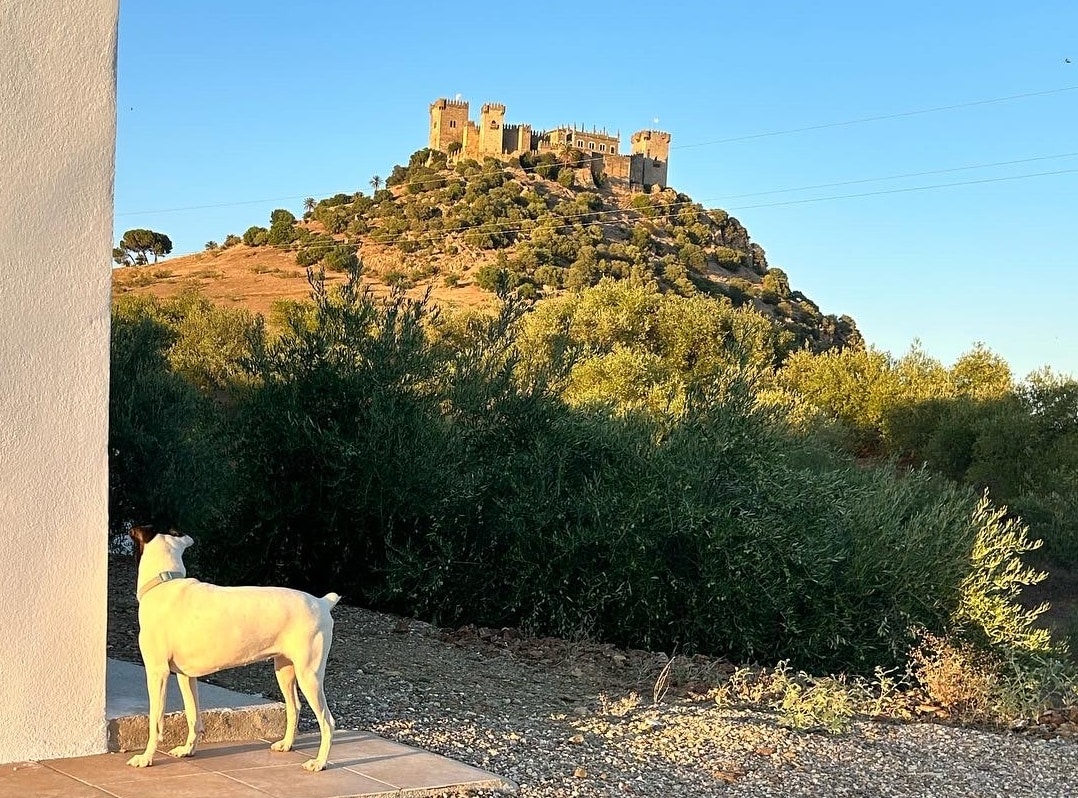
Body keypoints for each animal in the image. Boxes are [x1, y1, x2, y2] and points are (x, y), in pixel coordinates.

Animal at [126, 526, 338, 767]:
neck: (164, 582)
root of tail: (322, 602)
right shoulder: (186, 677)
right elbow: (193, 716)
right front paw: (188, 750)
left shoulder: (157, 673)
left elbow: (155, 722)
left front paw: (145, 758)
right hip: (285, 671)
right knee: (295, 708)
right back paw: (286, 745)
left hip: (309, 676)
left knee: (327, 721)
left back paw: (319, 763)